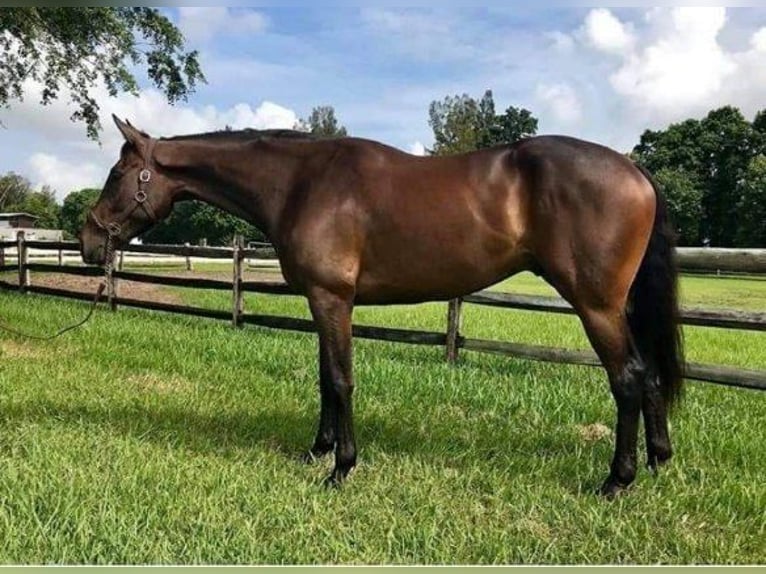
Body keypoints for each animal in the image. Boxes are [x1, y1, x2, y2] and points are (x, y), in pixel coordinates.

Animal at [81, 115, 688, 498]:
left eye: (116, 174)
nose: (87, 241)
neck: (300, 183)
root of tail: (635, 171)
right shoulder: (322, 302)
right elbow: (324, 378)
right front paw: (317, 451)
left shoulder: (332, 299)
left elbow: (341, 380)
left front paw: (341, 469)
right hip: (617, 306)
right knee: (650, 375)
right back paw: (658, 461)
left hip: (596, 305)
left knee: (628, 378)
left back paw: (616, 481)